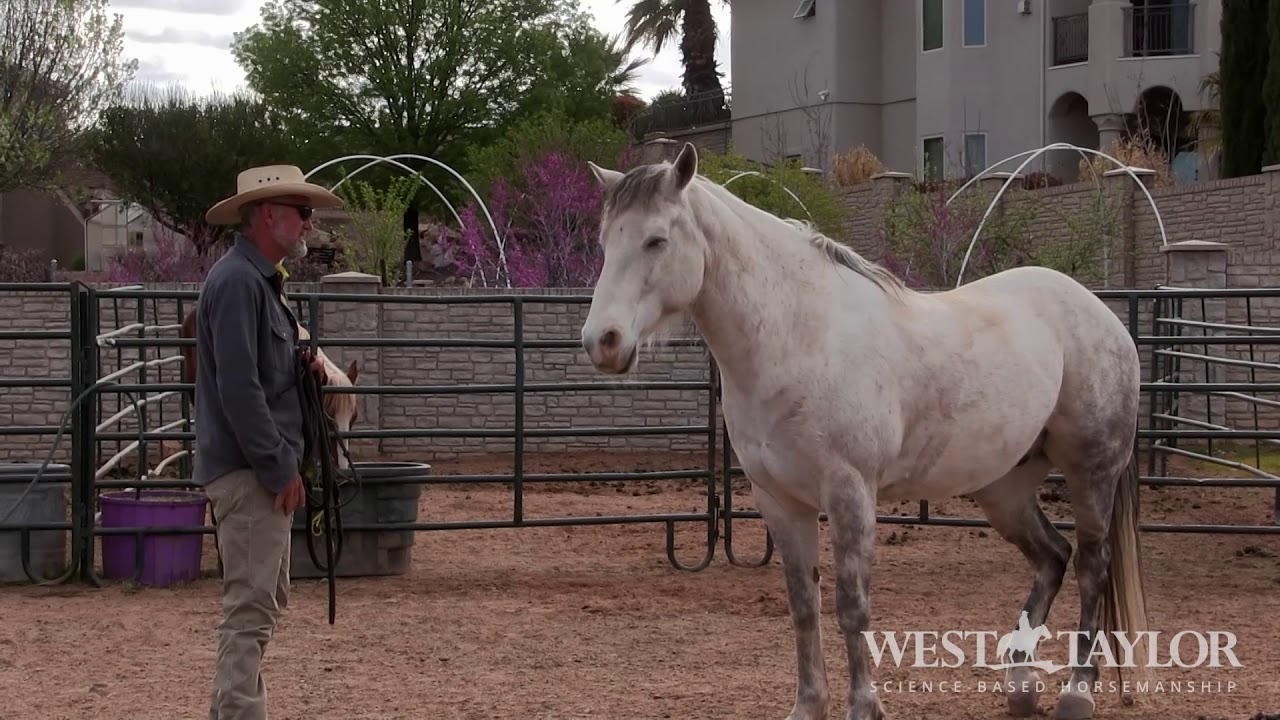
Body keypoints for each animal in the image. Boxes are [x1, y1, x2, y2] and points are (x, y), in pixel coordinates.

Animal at [578, 142, 1150, 720]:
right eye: (605, 242)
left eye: (656, 240)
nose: (602, 341)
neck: (800, 337)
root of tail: (1100, 313)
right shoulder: (779, 501)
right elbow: (803, 606)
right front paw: (808, 706)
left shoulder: (850, 493)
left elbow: (852, 607)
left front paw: (864, 706)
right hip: (1003, 490)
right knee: (1052, 557)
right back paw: (1021, 686)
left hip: (1091, 472)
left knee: (1091, 566)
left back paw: (1077, 691)